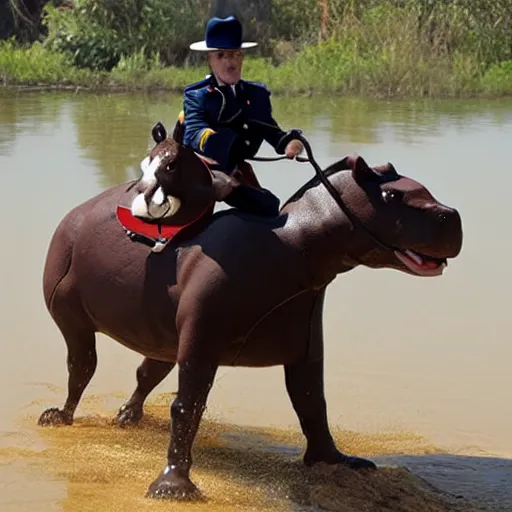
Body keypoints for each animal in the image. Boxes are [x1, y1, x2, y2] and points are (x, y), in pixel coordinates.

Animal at [38, 123, 464, 500]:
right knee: (81, 368)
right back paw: (60, 416)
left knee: (146, 372)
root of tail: (73, 215)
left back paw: (127, 416)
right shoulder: (202, 341)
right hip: (70, 316)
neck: (293, 246)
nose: (452, 216)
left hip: (162, 334)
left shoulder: (305, 345)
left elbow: (312, 403)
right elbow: (187, 407)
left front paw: (335, 460)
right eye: (391, 198)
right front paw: (173, 486)